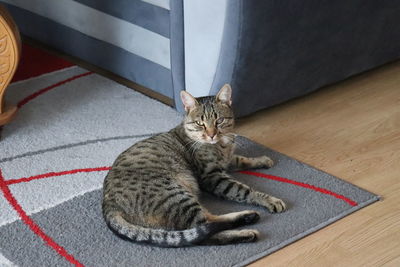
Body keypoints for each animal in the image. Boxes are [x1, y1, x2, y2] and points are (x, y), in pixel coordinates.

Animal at [101, 85, 286, 248]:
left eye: (219, 120)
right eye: (200, 123)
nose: (211, 135)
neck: (222, 145)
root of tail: (108, 206)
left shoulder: (227, 161)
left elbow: (242, 159)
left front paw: (262, 160)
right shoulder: (212, 176)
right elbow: (244, 190)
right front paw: (269, 199)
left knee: (206, 225)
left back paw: (248, 219)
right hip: (177, 195)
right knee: (204, 230)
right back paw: (247, 227)